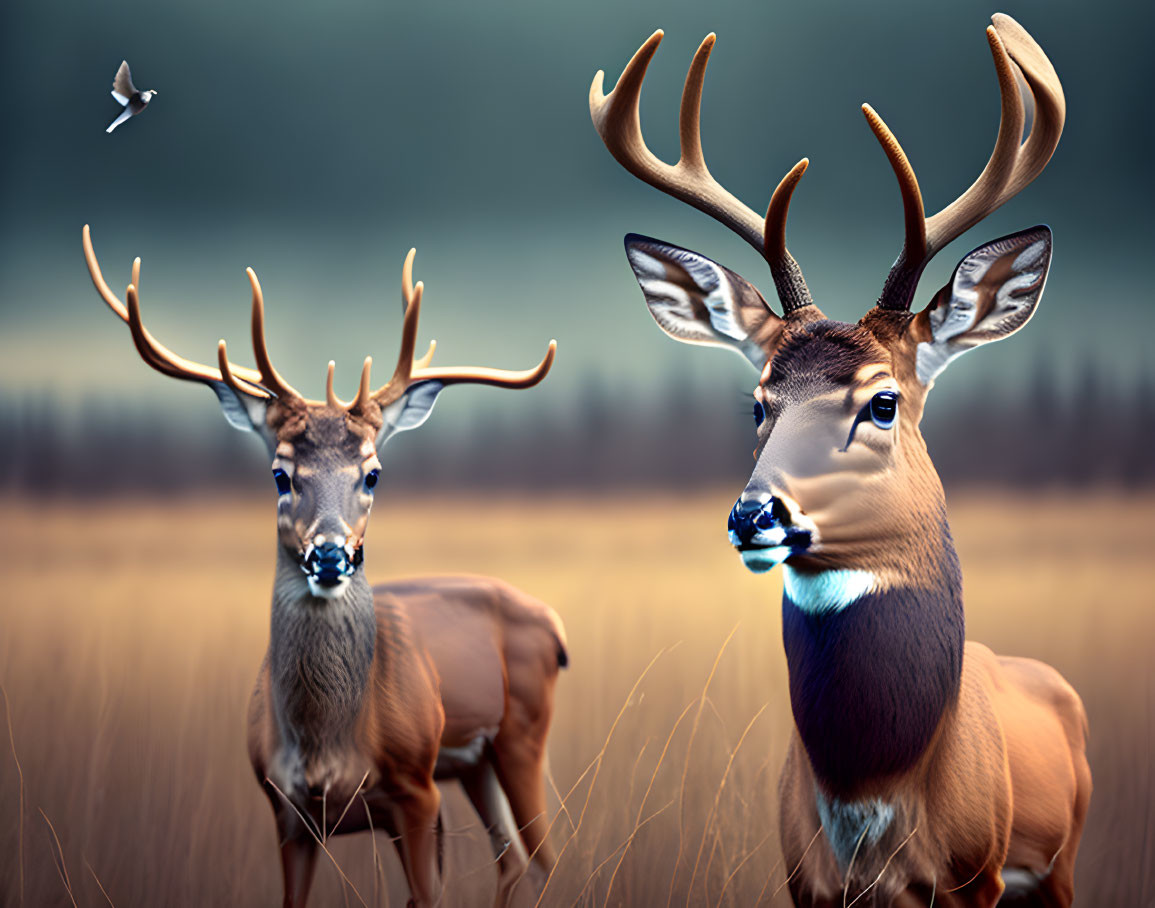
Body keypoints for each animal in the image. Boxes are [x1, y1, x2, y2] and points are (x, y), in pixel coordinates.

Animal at [82, 222, 568, 901]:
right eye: (281, 473)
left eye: (373, 473)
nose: (332, 555)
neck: (326, 746)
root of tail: (554, 624)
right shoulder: (286, 811)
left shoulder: (417, 791)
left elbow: (427, 894)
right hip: (477, 763)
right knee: (516, 858)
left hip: (523, 732)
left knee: (547, 855)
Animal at [595, 12, 1090, 896]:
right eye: (757, 403)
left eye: (882, 402)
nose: (755, 516)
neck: (872, 789)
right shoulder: (804, 877)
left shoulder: (975, 875)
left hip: (1057, 864)